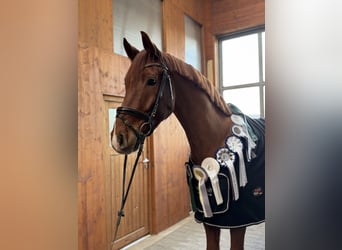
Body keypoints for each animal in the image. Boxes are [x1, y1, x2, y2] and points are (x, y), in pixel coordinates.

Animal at [112, 32, 264, 249]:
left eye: (151, 81)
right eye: (126, 82)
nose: (119, 138)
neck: (215, 137)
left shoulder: (238, 223)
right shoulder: (210, 221)